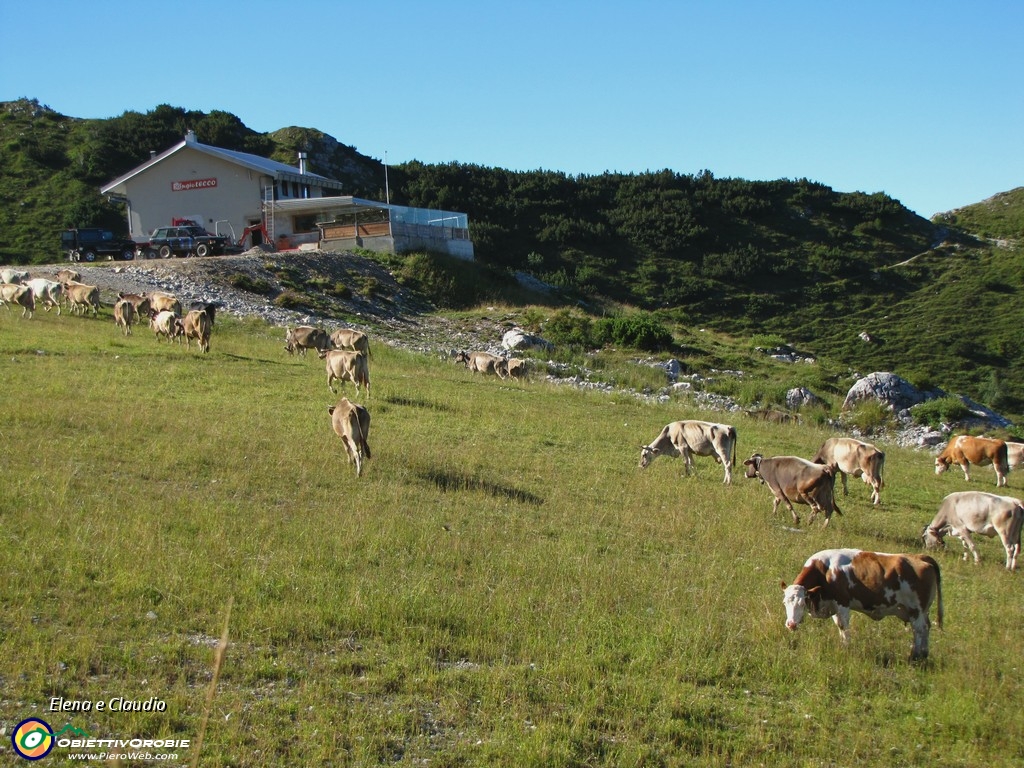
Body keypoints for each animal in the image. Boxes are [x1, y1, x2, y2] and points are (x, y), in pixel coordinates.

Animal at [782, 548, 942, 663]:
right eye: (784, 602)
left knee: (919, 629)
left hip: (917, 611)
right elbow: (839, 626)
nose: (791, 624)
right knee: (926, 628)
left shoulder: (843, 603)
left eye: (803, 603)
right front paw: (843, 645)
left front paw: (846, 648)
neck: (825, 571)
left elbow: (844, 626)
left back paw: (915, 656)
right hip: (921, 612)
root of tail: (921, 557)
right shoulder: (833, 605)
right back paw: (923, 654)